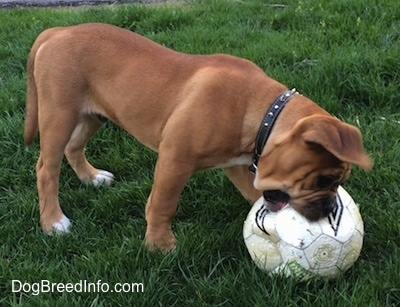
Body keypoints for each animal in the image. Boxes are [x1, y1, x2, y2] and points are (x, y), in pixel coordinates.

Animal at [23, 22, 372, 253]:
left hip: (93, 114)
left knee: (74, 147)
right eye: (323, 179)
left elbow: (253, 194)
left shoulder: (235, 164)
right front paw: (160, 244)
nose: (330, 208)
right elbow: (162, 203)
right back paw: (54, 222)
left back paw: (91, 178)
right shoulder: (175, 160)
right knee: (46, 168)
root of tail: (56, 31)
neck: (261, 113)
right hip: (58, 114)